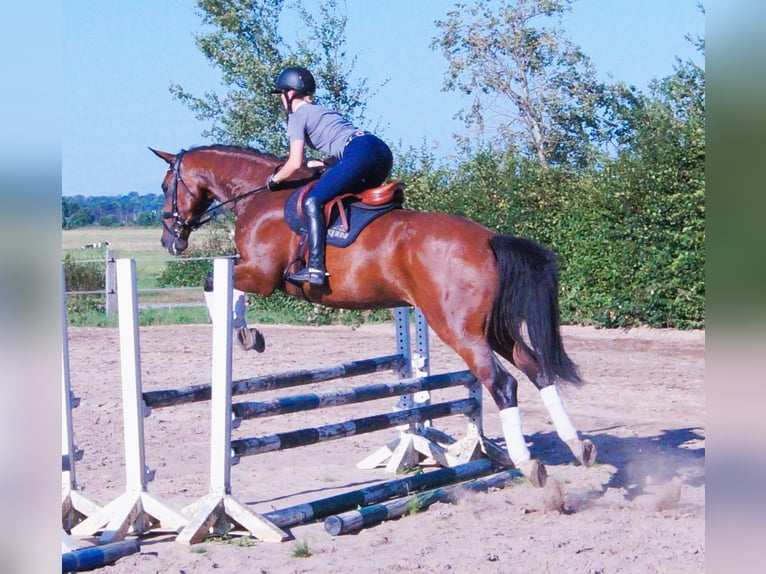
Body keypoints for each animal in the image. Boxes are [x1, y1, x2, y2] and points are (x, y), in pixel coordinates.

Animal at [148, 143, 592, 486]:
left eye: (166, 186)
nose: (169, 241)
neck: (259, 195)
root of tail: (488, 240)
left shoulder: (260, 274)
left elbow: (214, 282)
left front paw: (241, 333)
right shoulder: (256, 273)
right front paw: (246, 334)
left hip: (459, 330)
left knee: (502, 383)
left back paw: (529, 465)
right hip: (493, 329)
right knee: (535, 368)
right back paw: (577, 445)